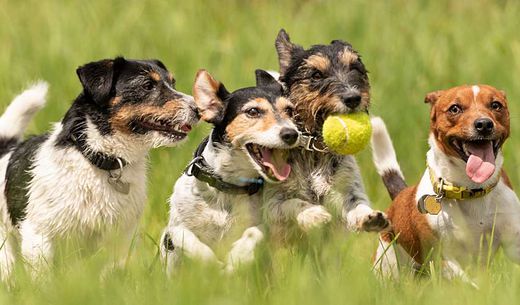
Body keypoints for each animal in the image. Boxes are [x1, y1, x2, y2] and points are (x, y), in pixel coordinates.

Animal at [0, 57, 198, 280]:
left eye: (172, 83)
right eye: (147, 85)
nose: (198, 110)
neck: (100, 161)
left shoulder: (120, 239)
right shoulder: (39, 235)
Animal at [161, 69, 300, 274]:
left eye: (289, 111)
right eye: (253, 111)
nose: (291, 134)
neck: (228, 186)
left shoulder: (265, 224)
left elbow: (255, 232)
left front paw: (237, 257)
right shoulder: (173, 232)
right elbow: (184, 236)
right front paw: (212, 263)